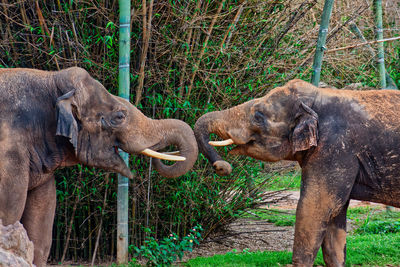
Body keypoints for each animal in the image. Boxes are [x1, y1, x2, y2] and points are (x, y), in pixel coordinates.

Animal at [195, 79, 400, 267]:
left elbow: (315, 208)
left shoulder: (334, 149)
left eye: (258, 116)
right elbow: (335, 217)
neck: (318, 97)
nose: (222, 167)